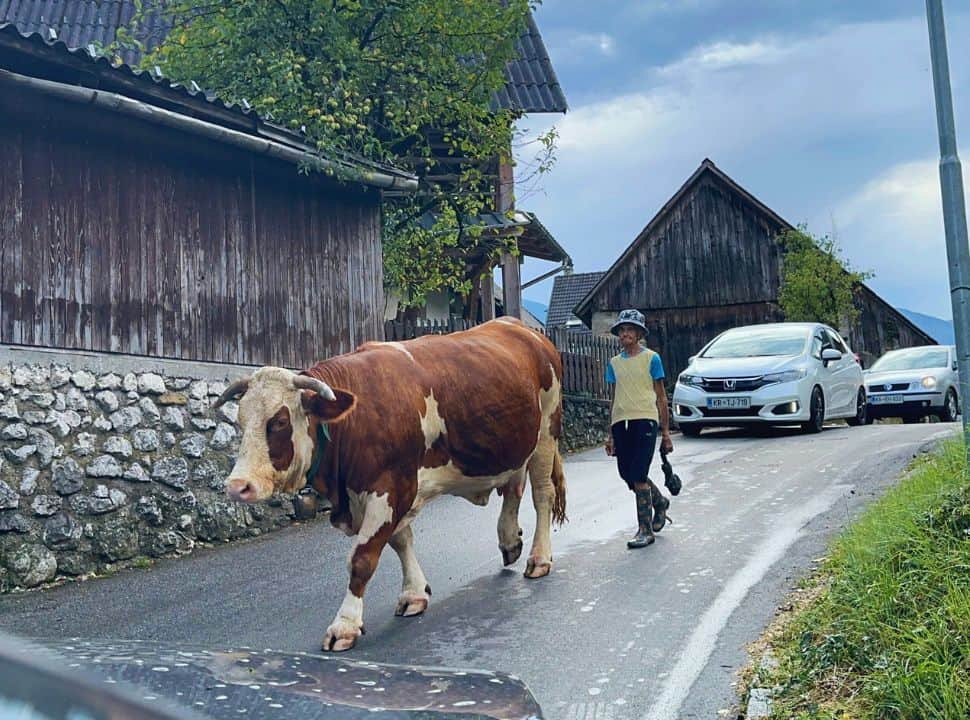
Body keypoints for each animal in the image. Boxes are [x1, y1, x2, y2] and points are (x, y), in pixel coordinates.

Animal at [212, 317, 567, 652]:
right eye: (240, 421)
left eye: (280, 421)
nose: (237, 486)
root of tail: (520, 327)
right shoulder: (390, 491)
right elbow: (401, 540)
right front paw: (414, 593)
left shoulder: (391, 487)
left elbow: (362, 558)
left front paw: (345, 625)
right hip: (515, 444)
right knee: (513, 489)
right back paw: (509, 542)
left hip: (546, 432)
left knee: (542, 496)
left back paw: (539, 558)